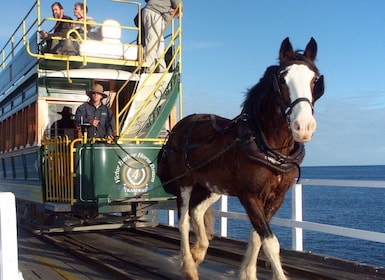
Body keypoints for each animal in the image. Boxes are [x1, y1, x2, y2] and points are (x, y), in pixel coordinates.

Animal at [158, 37, 322, 280]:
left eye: (315, 80)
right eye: (283, 79)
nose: (304, 127)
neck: (266, 144)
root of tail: (179, 128)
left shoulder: (277, 197)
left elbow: (257, 236)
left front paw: (247, 273)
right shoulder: (249, 195)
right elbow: (270, 242)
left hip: (212, 186)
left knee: (197, 211)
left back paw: (199, 251)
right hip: (185, 183)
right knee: (183, 221)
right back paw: (188, 265)